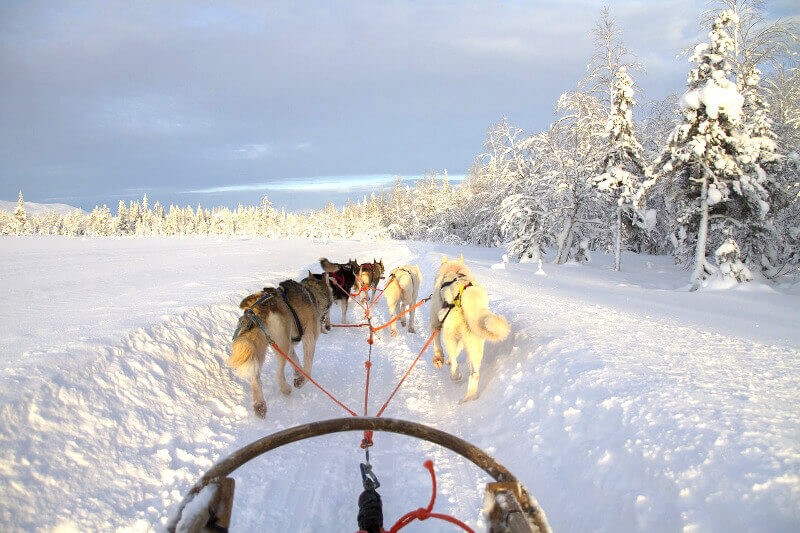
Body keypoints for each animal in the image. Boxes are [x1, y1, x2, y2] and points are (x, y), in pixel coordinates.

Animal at [230, 272, 332, 418]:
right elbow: (307, 369)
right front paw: (301, 380)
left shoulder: (291, 346)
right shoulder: (309, 337)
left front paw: (298, 373)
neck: (312, 293)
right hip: (282, 344)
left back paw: (259, 405)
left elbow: (296, 361)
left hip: (259, 348)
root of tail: (257, 310)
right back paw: (286, 389)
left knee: (255, 378)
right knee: (278, 374)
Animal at [428, 256, 510, 402]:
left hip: (449, 335)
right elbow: (458, 348)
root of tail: (468, 295)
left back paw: (455, 375)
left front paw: (439, 359)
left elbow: (437, 345)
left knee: (455, 361)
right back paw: (468, 398)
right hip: (475, 343)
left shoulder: (435, 322)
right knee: (475, 374)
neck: (455, 270)